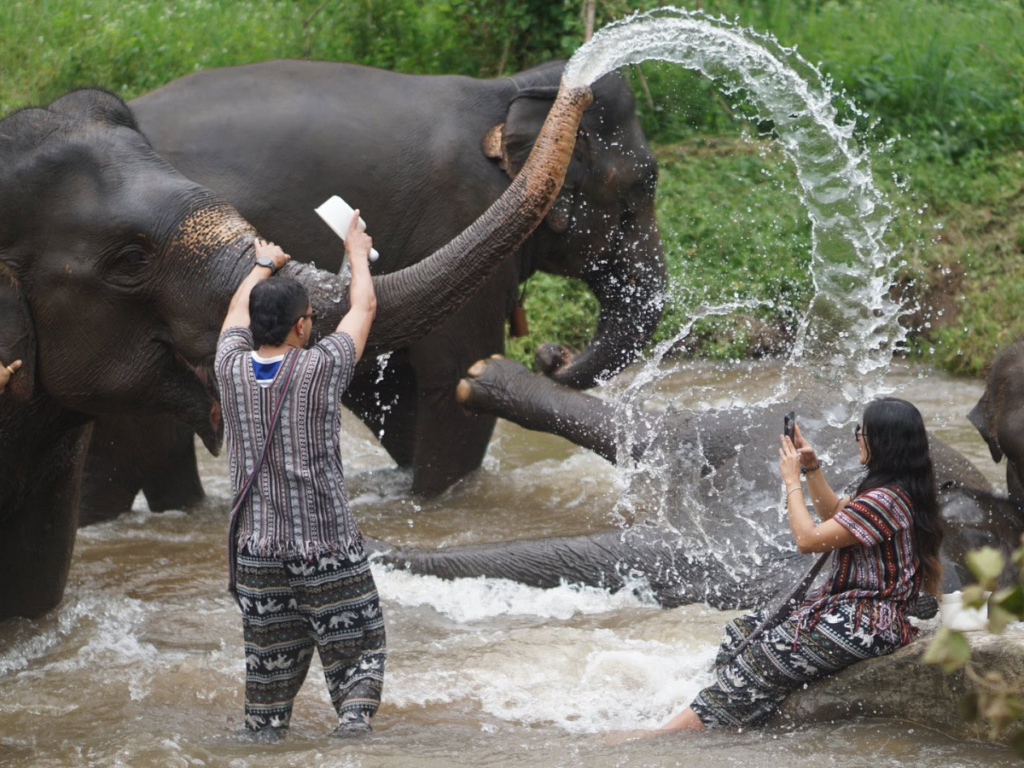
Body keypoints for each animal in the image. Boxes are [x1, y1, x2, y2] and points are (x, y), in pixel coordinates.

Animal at [76, 58, 665, 523]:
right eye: (642, 189)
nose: (551, 354)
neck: (509, 89)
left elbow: (398, 388)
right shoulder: (459, 211)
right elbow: (451, 382)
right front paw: (435, 503)